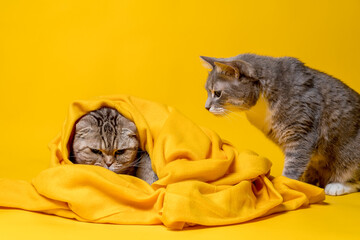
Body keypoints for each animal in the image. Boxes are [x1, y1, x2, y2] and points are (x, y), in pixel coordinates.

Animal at [200, 54, 360, 195]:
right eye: (207, 91)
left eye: (218, 93)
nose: (206, 107)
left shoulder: (300, 131)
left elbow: (293, 164)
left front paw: (284, 186)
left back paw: (337, 185)